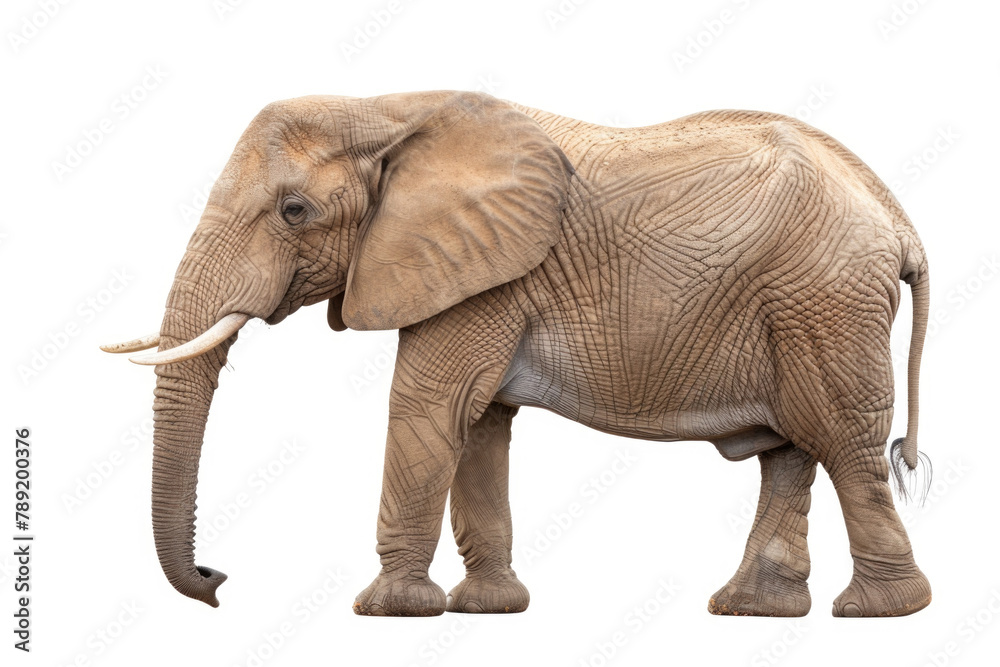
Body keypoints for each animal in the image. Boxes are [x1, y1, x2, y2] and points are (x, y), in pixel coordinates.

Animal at [99, 90, 928, 620]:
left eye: (294, 210)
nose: (216, 578)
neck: (388, 109)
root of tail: (896, 217)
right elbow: (479, 423)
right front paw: (487, 609)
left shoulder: (488, 274)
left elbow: (430, 405)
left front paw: (391, 610)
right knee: (790, 451)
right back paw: (752, 610)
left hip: (826, 302)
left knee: (843, 443)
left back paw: (877, 612)